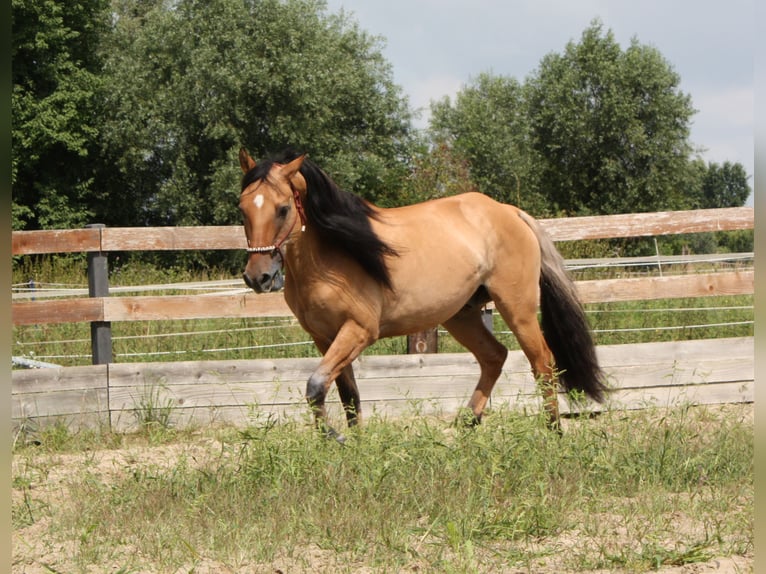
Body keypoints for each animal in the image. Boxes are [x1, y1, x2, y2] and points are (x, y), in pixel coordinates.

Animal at [237, 150, 608, 440]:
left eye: (283, 208)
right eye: (242, 209)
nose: (258, 276)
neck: (330, 257)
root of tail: (509, 211)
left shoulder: (358, 330)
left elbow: (316, 386)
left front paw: (335, 438)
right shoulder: (324, 337)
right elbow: (346, 393)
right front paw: (352, 444)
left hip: (517, 308)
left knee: (542, 361)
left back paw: (553, 432)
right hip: (461, 315)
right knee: (495, 356)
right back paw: (467, 425)